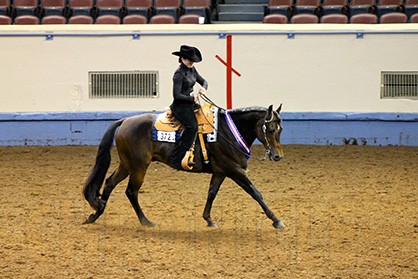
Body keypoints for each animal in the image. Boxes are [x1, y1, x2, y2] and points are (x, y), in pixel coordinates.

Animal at [82, 103, 284, 230]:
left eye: (281, 129)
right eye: (270, 129)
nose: (278, 156)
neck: (227, 131)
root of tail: (124, 121)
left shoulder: (221, 172)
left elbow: (211, 193)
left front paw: (208, 219)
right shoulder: (234, 170)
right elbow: (255, 192)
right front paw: (276, 220)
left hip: (126, 165)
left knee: (109, 183)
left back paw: (95, 214)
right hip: (138, 167)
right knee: (131, 192)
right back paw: (146, 221)